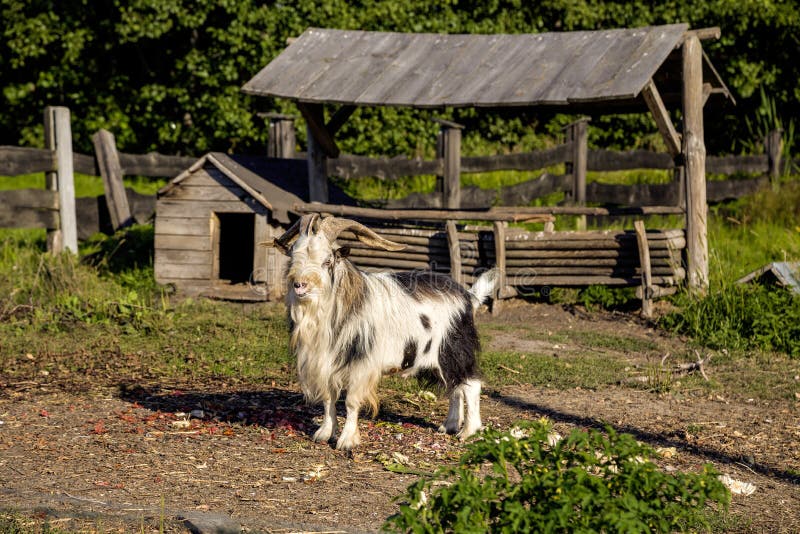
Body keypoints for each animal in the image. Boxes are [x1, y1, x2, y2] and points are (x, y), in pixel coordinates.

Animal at [270, 215, 500, 452]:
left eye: (327, 261)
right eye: (294, 256)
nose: (300, 285)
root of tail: (468, 296)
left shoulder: (361, 364)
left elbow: (351, 401)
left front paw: (347, 440)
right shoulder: (326, 361)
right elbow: (328, 398)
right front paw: (324, 433)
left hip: (455, 350)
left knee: (470, 385)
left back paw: (468, 432)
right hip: (438, 360)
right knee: (454, 388)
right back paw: (450, 425)